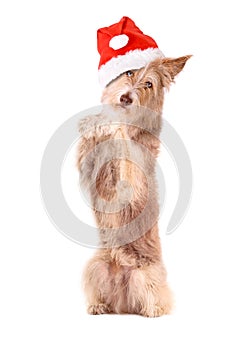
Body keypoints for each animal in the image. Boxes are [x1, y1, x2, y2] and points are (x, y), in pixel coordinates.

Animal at [77, 17, 190, 318]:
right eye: (128, 72)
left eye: (148, 84)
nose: (126, 98)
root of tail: (123, 300)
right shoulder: (92, 175)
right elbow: (88, 153)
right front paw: (94, 123)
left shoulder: (132, 180)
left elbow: (124, 144)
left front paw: (113, 126)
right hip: (95, 265)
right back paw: (98, 305)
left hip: (145, 275)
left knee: (158, 299)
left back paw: (152, 310)